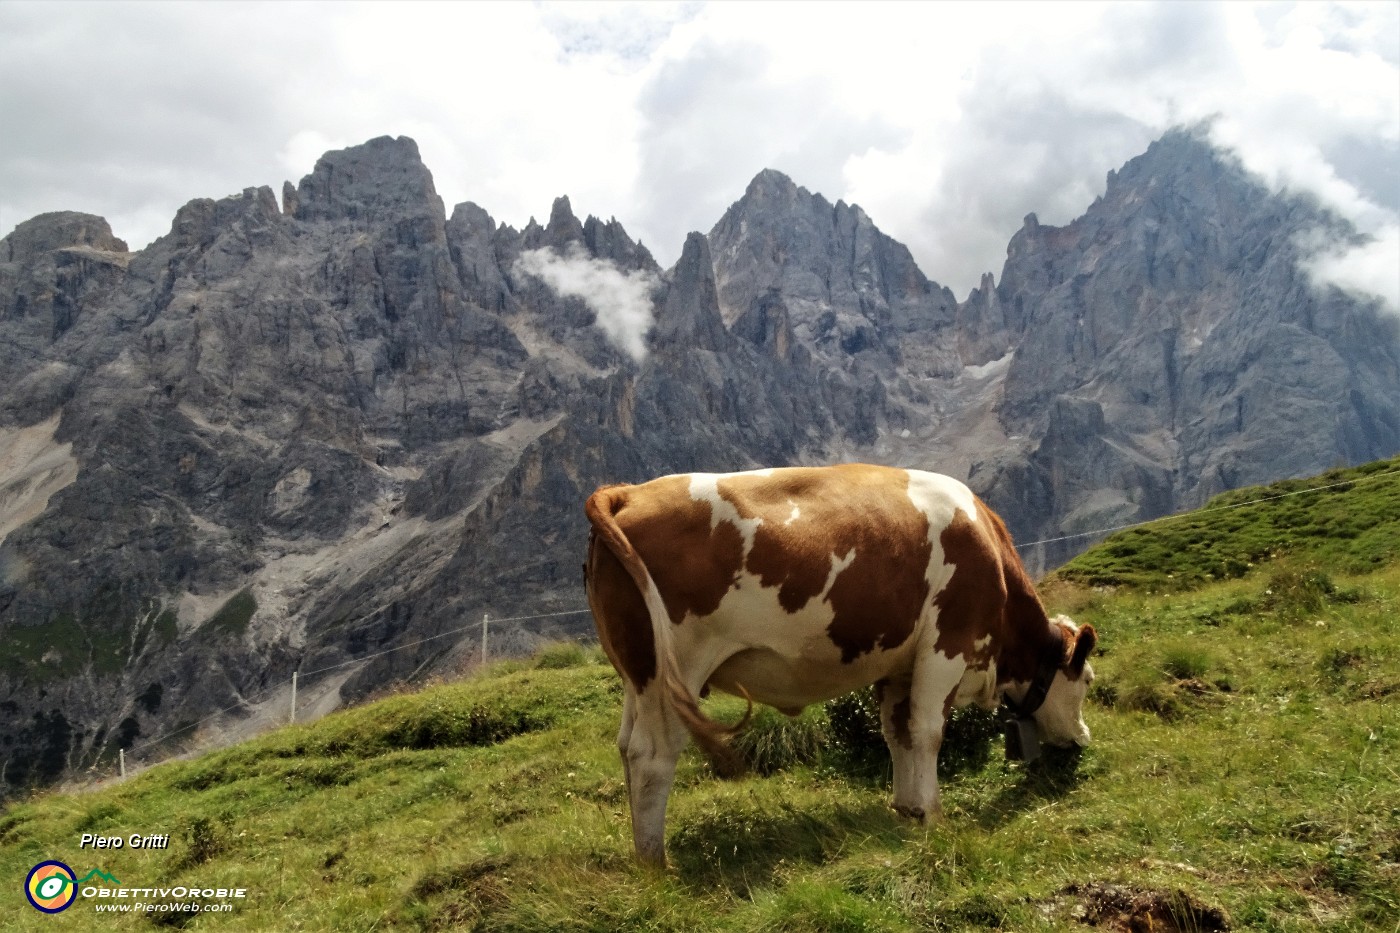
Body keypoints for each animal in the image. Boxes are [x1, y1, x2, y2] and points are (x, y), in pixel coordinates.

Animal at [585, 465, 1097, 862]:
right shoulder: (947, 646)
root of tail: (628, 492)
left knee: (626, 746)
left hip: (638, 674)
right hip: (674, 671)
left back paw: (640, 853)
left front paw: (907, 809)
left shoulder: (900, 664)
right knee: (651, 756)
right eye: (1087, 680)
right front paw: (934, 816)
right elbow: (929, 731)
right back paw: (655, 861)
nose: (1082, 739)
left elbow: (898, 732)